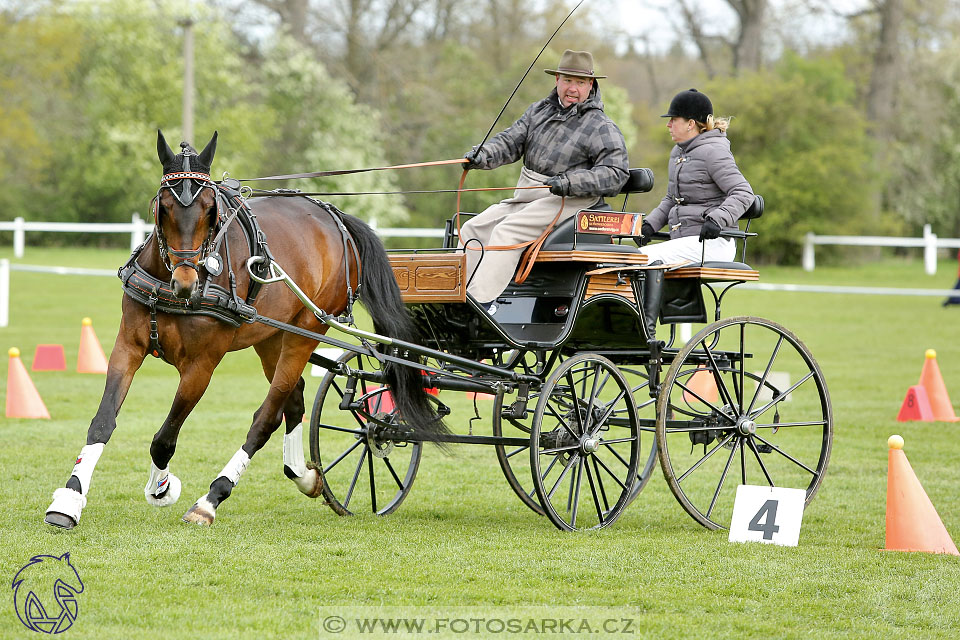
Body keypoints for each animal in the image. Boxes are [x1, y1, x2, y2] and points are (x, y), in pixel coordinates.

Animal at [44, 131, 446, 528]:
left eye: (211, 210)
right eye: (164, 207)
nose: (187, 283)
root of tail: (336, 219)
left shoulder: (201, 366)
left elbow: (164, 438)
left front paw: (162, 488)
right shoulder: (127, 346)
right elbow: (103, 421)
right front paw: (69, 500)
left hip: (305, 330)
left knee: (266, 417)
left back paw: (211, 499)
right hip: (271, 337)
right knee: (294, 401)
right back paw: (304, 475)